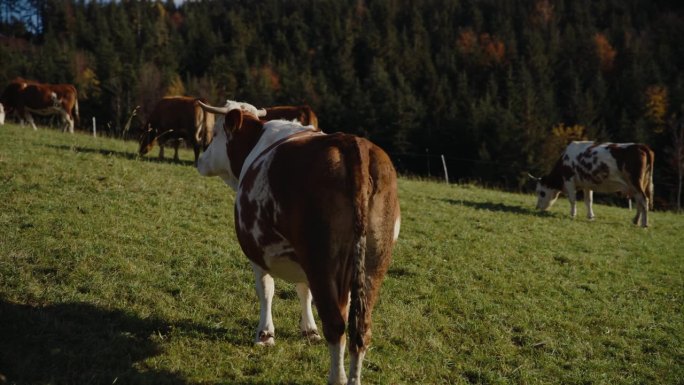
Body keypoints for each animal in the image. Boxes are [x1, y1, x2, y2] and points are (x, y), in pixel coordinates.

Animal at [196, 100, 400, 384]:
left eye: (215, 134)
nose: (200, 160)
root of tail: (351, 143)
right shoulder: (303, 261)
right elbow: (305, 291)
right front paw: (309, 330)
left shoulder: (258, 252)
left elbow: (266, 290)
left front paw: (265, 334)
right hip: (372, 263)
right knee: (360, 329)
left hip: (321, 260)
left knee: (336, 325)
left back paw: (336, 377)